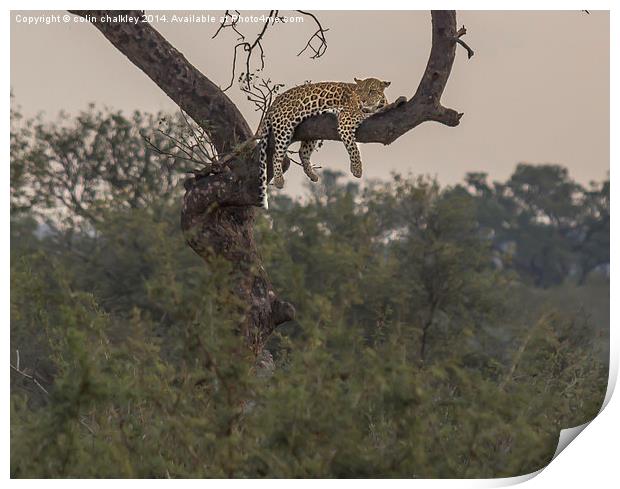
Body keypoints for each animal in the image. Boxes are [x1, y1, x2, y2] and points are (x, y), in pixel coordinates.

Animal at [254, 76, 390, 208]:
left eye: (372, 91)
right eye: (360, 90)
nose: (363, 100)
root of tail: (274, 103)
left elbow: (355, 146)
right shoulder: (345, 122)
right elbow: (353, 148)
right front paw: (357, 170)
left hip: (312, 131)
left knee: (302, 152)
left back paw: (312, 175)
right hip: (284, 127)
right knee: (277, 155)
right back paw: (279, 180)